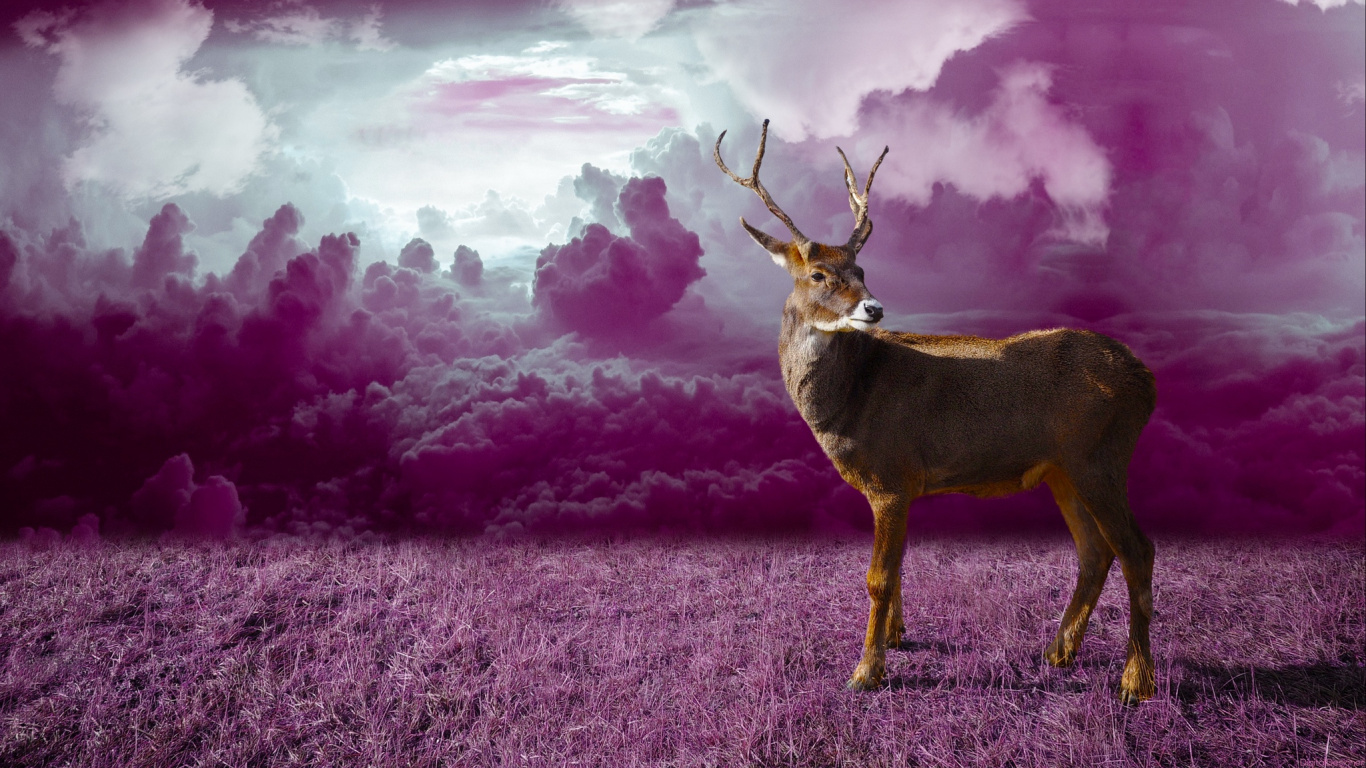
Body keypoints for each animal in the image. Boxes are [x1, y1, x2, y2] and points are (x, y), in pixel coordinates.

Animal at [715, 120, 1158, 704]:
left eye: (860, 267)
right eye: (817, 275)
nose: (874, 307)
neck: (849, 399)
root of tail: (1147, 380)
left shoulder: (891, 474)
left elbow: (878, 576)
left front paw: (866, 671)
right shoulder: (900, 485)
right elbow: (898, 567)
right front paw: (896, 637)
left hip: (1100, 455)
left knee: (1137, 550)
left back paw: (1136, 680)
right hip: (1064, 469)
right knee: (1095, 552)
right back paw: (1058, 652)